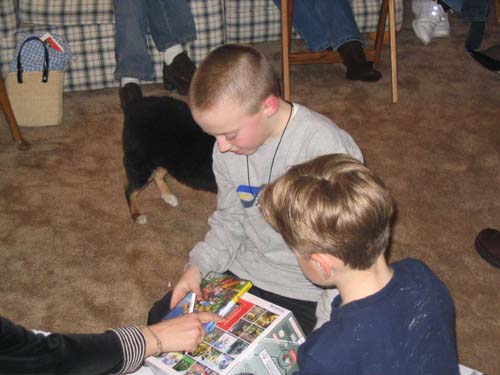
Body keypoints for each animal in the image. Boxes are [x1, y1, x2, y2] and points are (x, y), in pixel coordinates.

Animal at [121, 84, 217, 225]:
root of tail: (134, 103)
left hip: (166, 159)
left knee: (157, 176)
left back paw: (168, 197)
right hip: (142, 163)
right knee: (130, 190)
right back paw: (137, 215)